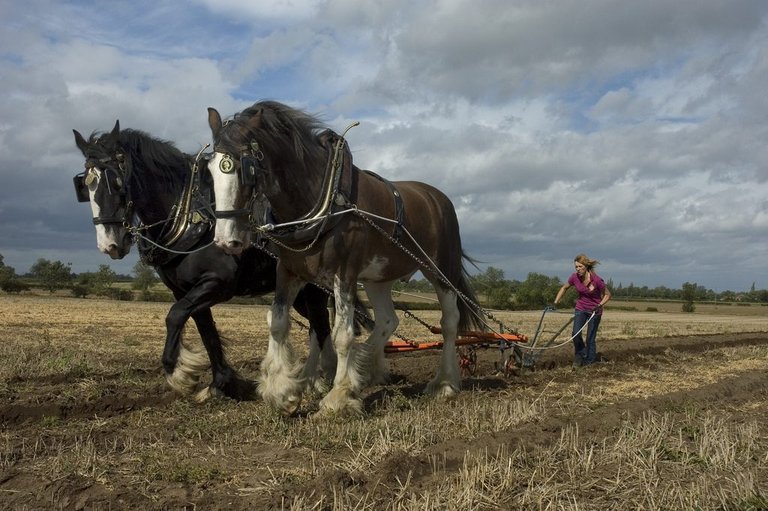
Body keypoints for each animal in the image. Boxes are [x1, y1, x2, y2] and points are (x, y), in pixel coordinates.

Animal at [72, 122, 352, 402]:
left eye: (115, 182)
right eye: (85, 187)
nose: (109, 245)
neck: (192, 217)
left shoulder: (218, 283)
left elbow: (174, 316)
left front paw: (179, 373)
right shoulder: (185, 290)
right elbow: (205, 330)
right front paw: (222, 382)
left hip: (312, 288)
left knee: (321, 326)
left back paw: (320, 381)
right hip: (300, 293)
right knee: (316, 326)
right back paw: (313, 380)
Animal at [204, 101, 480, 416]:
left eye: (247, 169)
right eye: (210, 169)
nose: (226, 239)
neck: (321, 197)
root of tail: (437, 197)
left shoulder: (345, 271)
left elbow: (342, 334)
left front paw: (339, 396)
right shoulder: (288, 270)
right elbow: (278, 322)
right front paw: (281, 390)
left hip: (440, 269)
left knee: (449, 321)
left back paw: (444, 383)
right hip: (378, 277)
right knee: (388, 320)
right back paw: (367, 368)